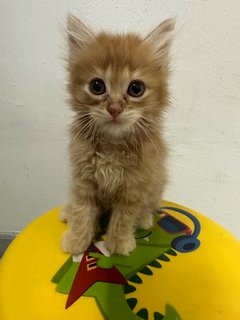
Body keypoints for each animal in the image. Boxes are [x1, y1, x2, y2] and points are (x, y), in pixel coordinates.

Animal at [62, 14, 174, 255]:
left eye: (136, 89)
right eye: (97, 86)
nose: (114, 108)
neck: (112, 146)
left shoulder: (136, 186)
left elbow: (124, 215)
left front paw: (118, 242)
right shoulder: (83, 180)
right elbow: (82, 209)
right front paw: (77, 240)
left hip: (157, 184)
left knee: (148, 207)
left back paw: (144, 219)